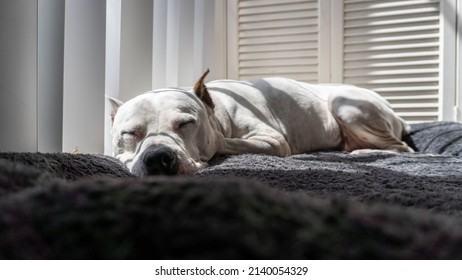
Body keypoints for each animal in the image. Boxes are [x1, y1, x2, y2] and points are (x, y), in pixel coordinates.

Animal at [109, 69, 412, 175]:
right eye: (129, 134)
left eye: (186, 124)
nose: (158, 158)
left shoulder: (273, 141)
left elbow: (224, 142)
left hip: (343, 102)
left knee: (402, 148)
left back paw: (361, 151)